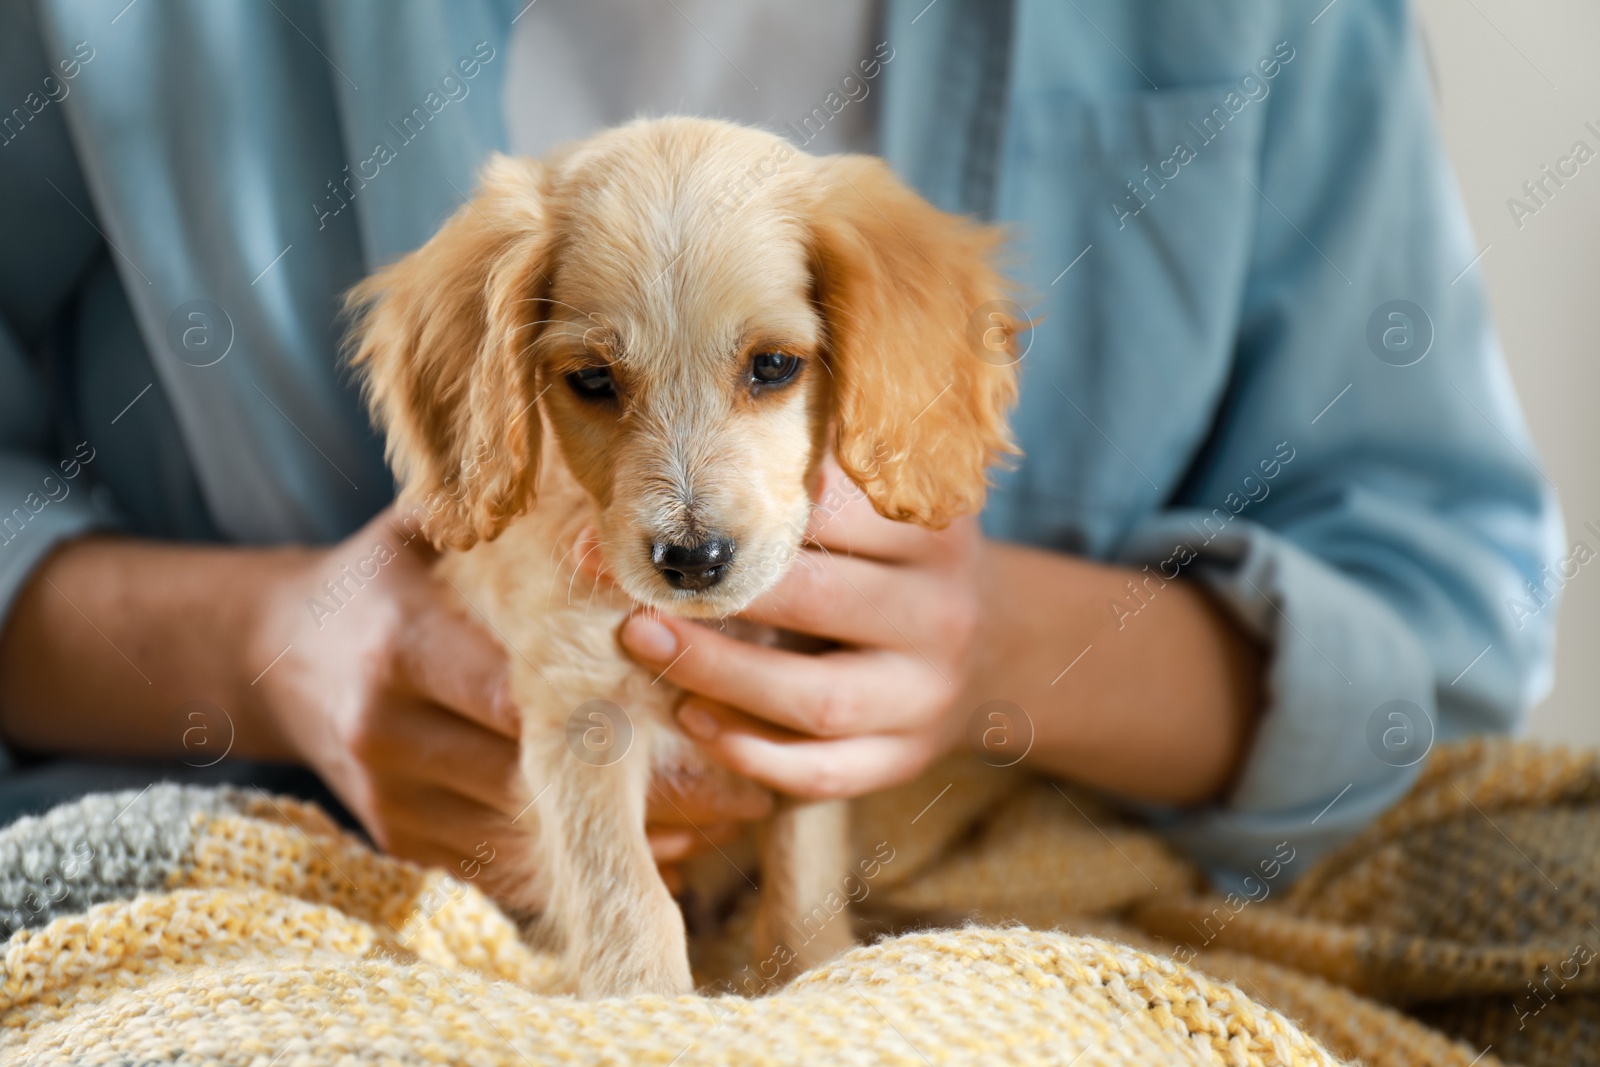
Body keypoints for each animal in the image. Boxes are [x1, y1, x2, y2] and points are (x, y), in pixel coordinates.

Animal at [352, 119, 1024, 1004]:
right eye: (593, 377)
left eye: (773, 365)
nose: (693, 559)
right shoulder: (580, 713)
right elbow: (626, 893)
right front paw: (649, 1005)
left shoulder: (805, 724)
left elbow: (805, 873)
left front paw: (812, 969)